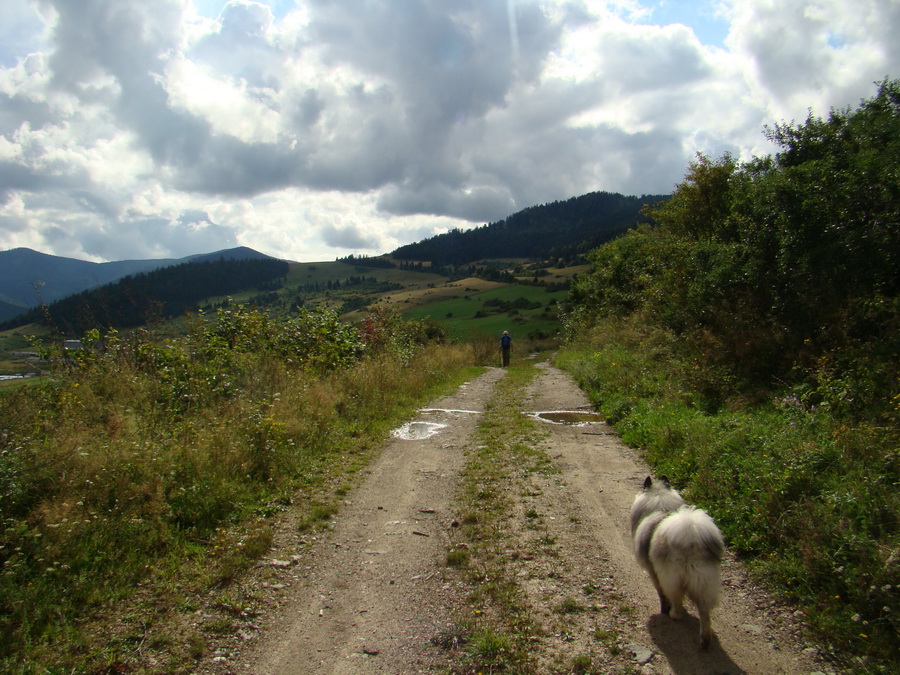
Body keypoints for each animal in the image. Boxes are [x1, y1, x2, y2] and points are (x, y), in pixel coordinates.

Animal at [628, 476, 728, 648]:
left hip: (672, 578)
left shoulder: (653, 572)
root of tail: (691, 539)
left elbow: (661, 593)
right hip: (705, 582)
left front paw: (663, 609)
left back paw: (673, 614)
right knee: (704, 612)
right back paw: (705, 640)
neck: (660, 505)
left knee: (676, 601)